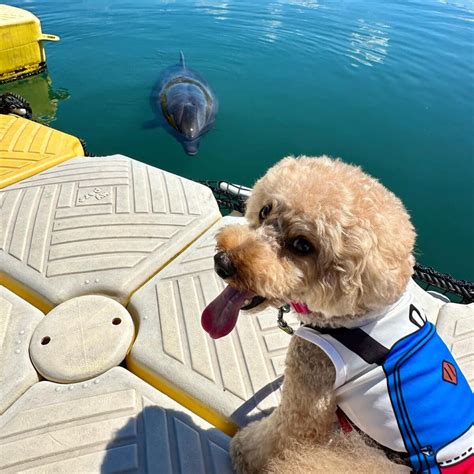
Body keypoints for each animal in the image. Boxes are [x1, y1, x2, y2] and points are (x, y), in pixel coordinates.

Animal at [202, 155, 472, 470]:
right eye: (265, 210)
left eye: (302, 245)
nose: (222, 262)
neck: (353, 319)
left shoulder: (310, 385)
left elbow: (280, 432)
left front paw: (244, 451)